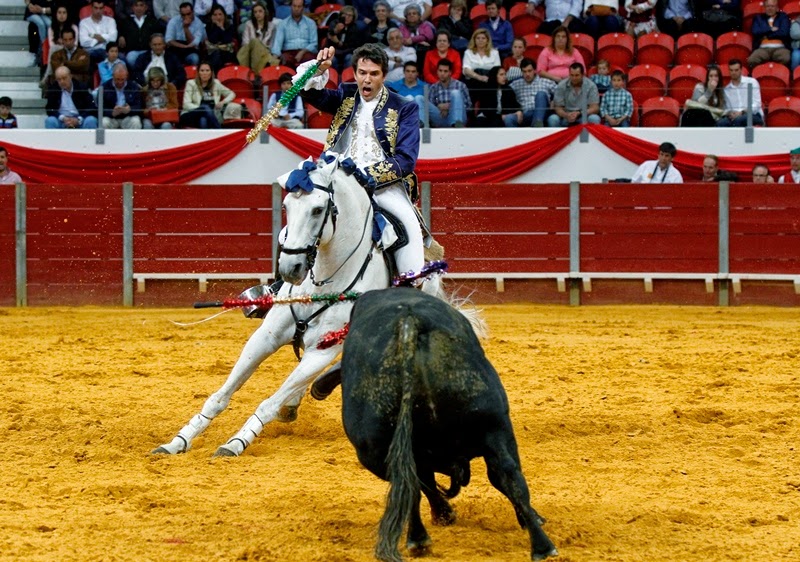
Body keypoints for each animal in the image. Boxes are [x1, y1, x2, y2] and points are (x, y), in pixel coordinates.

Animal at [152, 153, 442, 457]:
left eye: (317, 209)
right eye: (286, 206)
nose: (291, 267)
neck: (326, 278)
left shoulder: (322, 351)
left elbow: (268, 403)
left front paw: (236, 442)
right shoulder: (266, 337)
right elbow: (221, 395)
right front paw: (179, 440)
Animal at [312, 287, 558, 561]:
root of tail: (408, 322)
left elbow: (422, 484)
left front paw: (442, 516)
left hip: (374, 450)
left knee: (411, 485)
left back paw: (418, 539)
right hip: (494, 425)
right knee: (507, 474)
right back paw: (542, 546)